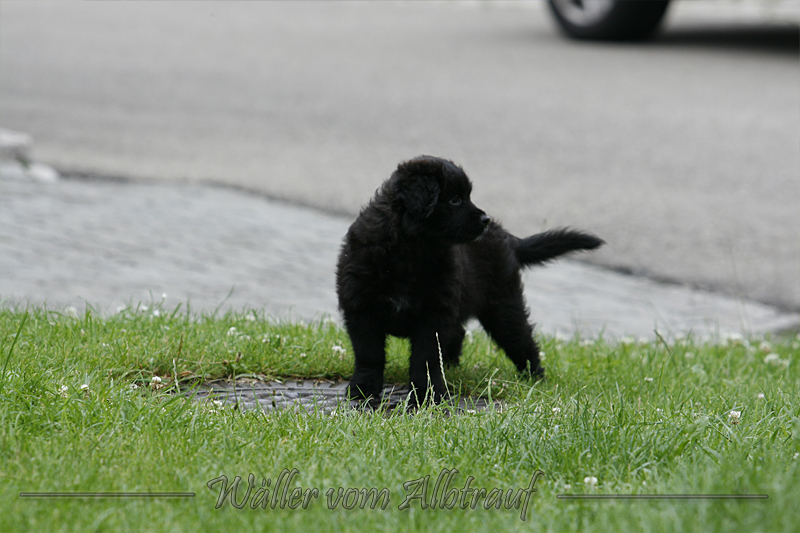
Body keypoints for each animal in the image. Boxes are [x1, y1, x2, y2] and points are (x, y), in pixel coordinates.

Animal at [336, 156, 604, 404]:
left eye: (468, 196)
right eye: (455, 199)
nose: (485, 220)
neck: (411, 249)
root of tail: (505, 235)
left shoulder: (434, 314)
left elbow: (425, 358)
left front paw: (428, 396)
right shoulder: (362, 308)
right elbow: (369, 354)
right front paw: (363, 390)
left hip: (503, 304)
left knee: (522, 340)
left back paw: (535, 378)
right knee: (459, 333)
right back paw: (452, 367)